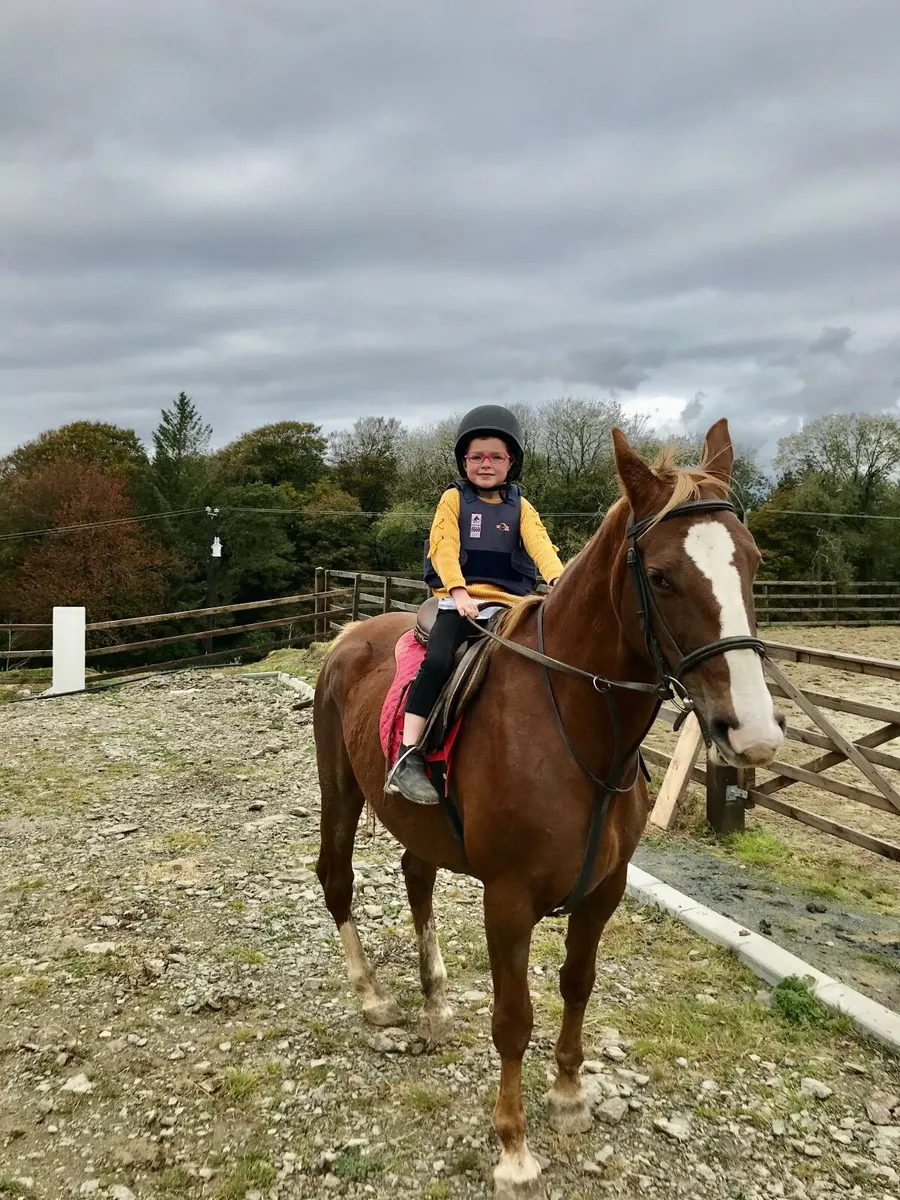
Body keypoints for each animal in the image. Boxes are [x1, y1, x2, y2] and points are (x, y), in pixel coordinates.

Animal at [313, 419, 784, 1198]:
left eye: (751, 562)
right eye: (661, 576)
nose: (753, 732)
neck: (574, 727)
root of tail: (349, 635)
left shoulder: (603, 891)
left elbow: (577, 985)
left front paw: (568, 1097)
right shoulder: (507, 898)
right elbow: (513, 1017)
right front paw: (513, 1148)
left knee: (417, 875)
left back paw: (435, 1003)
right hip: (340, 791)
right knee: (337, 879)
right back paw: (374, 998)